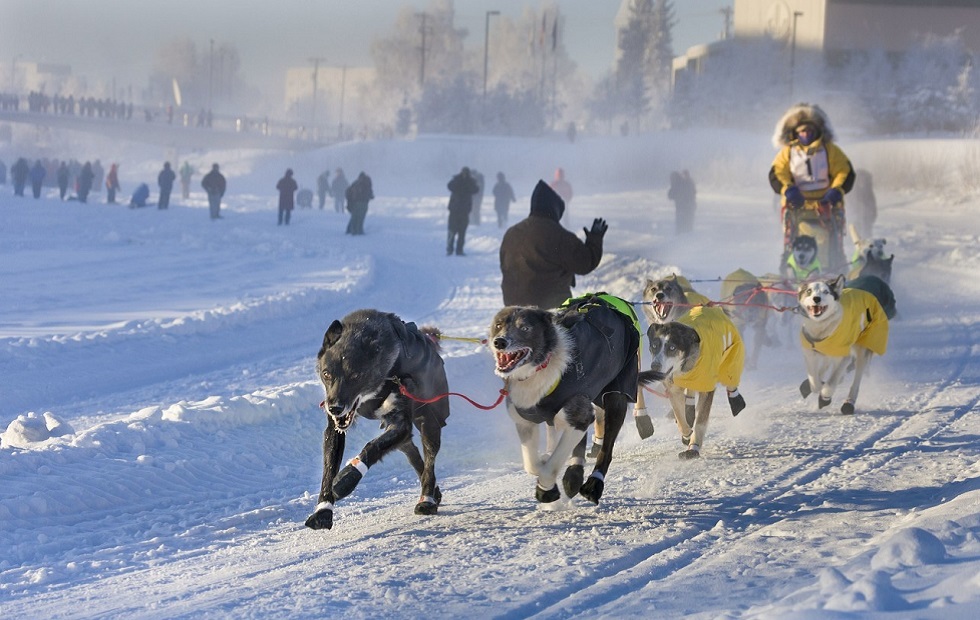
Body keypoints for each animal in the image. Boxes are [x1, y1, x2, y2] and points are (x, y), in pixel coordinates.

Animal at [304, 308, 450, 532]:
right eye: (327, 374)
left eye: (355, 376)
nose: (335, 407)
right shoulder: (335, 427)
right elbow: (328, 469)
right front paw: (323, 510)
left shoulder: (400, 423)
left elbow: (372, 447)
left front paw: (348, 477)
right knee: (412, 453)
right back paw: (434, 491)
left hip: (429, 419)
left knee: (429, 459)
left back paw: (427, 499)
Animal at [490, 294, 644, 504]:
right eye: (498, 325)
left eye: (525, 328)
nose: (499, 342)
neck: (540, 367)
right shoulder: (526, 421)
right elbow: (532, 465)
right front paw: (545, 464)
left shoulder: (579, 415)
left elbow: (550, 466)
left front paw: (546, 489)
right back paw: (574, 473)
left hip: (616, 393)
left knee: (606, 447)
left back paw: (594, 483)